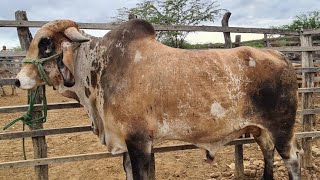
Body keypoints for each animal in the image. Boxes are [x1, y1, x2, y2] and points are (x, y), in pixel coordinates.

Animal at [15, 19, 300, 180]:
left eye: (45, 43)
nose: (18, 80)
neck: (100, 66)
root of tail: (280, 56)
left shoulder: (139, 142)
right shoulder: (128, 145)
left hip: (282, 129)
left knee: (292, 160)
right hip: (260, 130)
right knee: (268, 155)